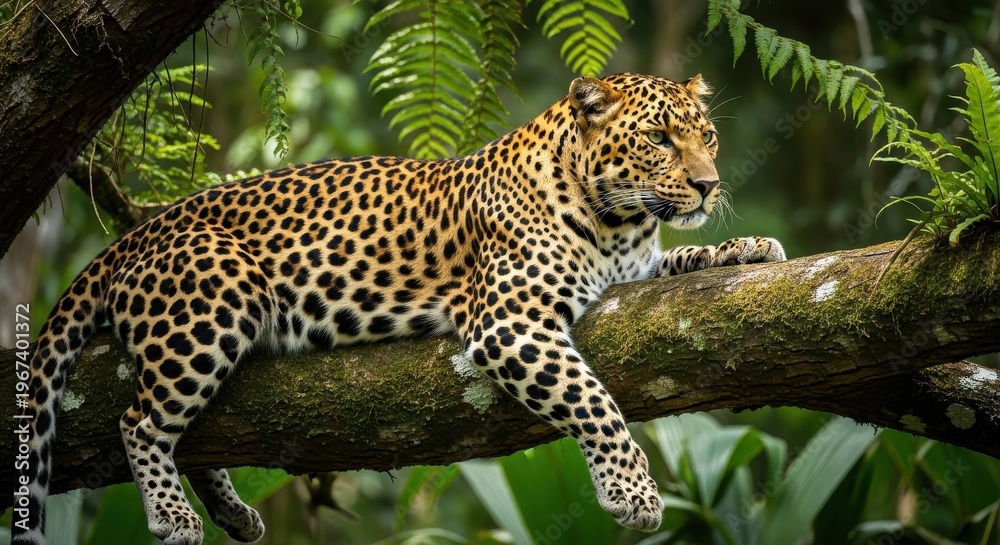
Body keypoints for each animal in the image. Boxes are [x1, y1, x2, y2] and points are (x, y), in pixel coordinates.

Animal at [13, 72, 785, 545]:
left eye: (707, 135)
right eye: (658, 138)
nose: (710, 185)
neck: (620, 221)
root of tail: (137, 231)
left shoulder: (638, 269)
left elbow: (685, 257)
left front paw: (751, 247)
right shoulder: (509, 321)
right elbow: (593, 400)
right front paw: (634, 491)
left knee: (196, 437)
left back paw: (234, 513)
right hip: (218, 301)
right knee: (140, 419)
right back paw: (174, 514)